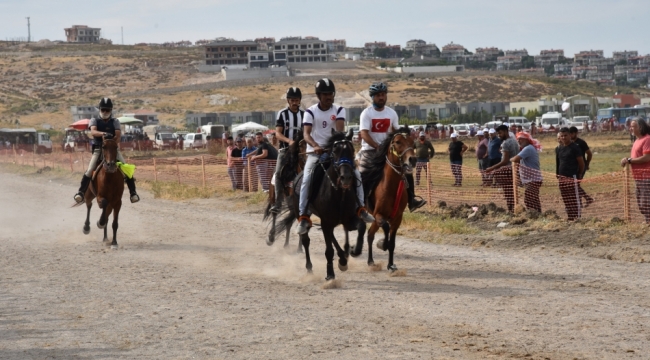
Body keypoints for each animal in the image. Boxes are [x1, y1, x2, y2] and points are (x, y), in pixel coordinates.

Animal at [270, 129, 356, 282]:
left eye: (352, 150)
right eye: (335, 151)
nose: (346, 177)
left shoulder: (341, 218)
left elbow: (343, 239)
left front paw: (343, 259)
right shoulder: (324, 219)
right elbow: (328, 249)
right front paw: (330, 274)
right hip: (288, 202)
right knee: (300, 234)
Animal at [350, 128, 416, 272]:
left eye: (412, 142)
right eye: (398, 142)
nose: (413, 159)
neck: (391, 186)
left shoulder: (397, 218)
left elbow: (392, 243)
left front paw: (390, 265)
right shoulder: (378, 215)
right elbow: (385, 227)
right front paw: (382, 244)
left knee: (369, 234)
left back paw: (370, 260)